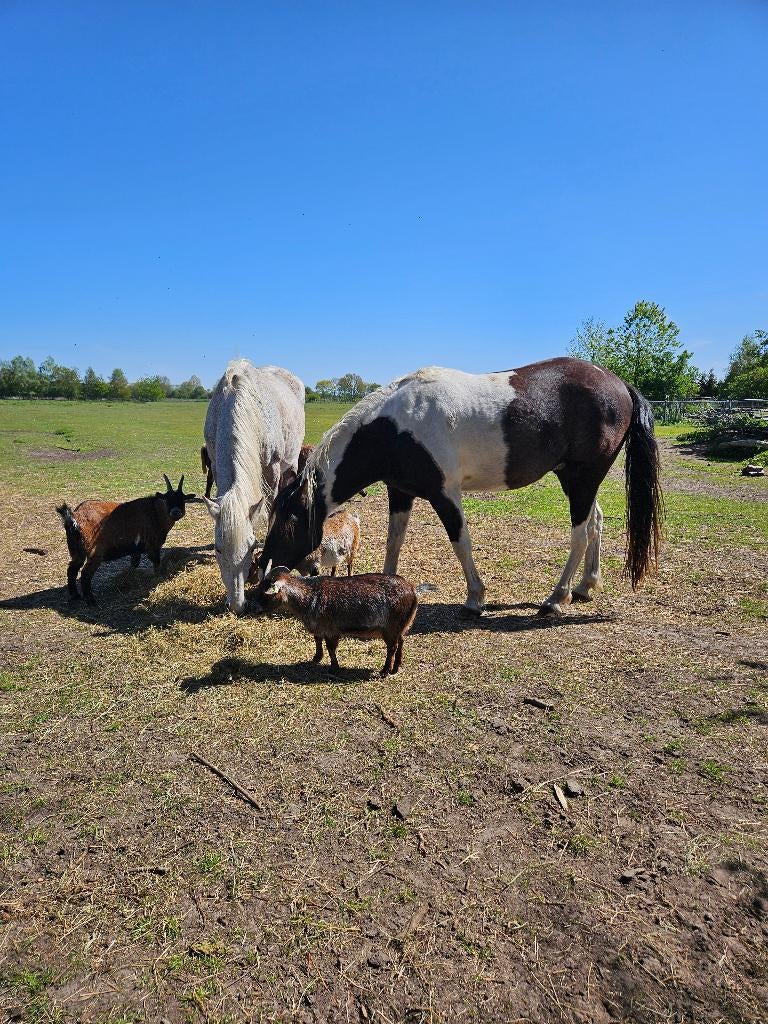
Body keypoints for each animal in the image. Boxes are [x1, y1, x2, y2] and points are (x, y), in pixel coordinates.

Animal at [203, 360, 305, 612]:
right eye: (218, 549)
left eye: (251, 547)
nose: (237, 605)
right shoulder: (215, 465)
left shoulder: (273, 468)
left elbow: (270, 510)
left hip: (291, 461)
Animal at [257, 357, 663, 616]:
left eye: (286, 519)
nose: (262, 577)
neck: (395, 427)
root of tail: (619, 384)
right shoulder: (401, 492)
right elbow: (394, 540)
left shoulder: (444, 494)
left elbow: (460, 541)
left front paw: (475, 598)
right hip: (575, 480)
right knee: (596, 522)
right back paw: (585, 586)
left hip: (582, 479)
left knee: (580, 534)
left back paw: (556, 598)